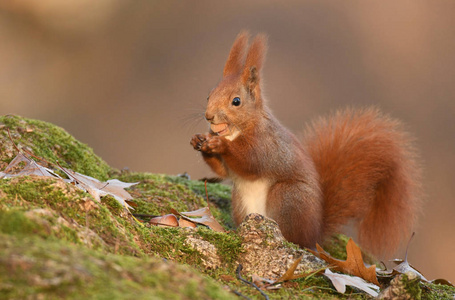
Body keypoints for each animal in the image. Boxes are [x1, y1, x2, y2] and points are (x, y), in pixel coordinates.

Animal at [191, 32, 422, 258]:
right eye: (209, 95)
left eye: (236, 101)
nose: (209, 116)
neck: (238, 131)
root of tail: (315, 234)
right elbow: (222, 170)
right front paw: (199, 140)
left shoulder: (267, 144)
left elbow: (251, 163)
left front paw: (220, 145)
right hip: (241, 201)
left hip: (287, 197)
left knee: (294, 237)